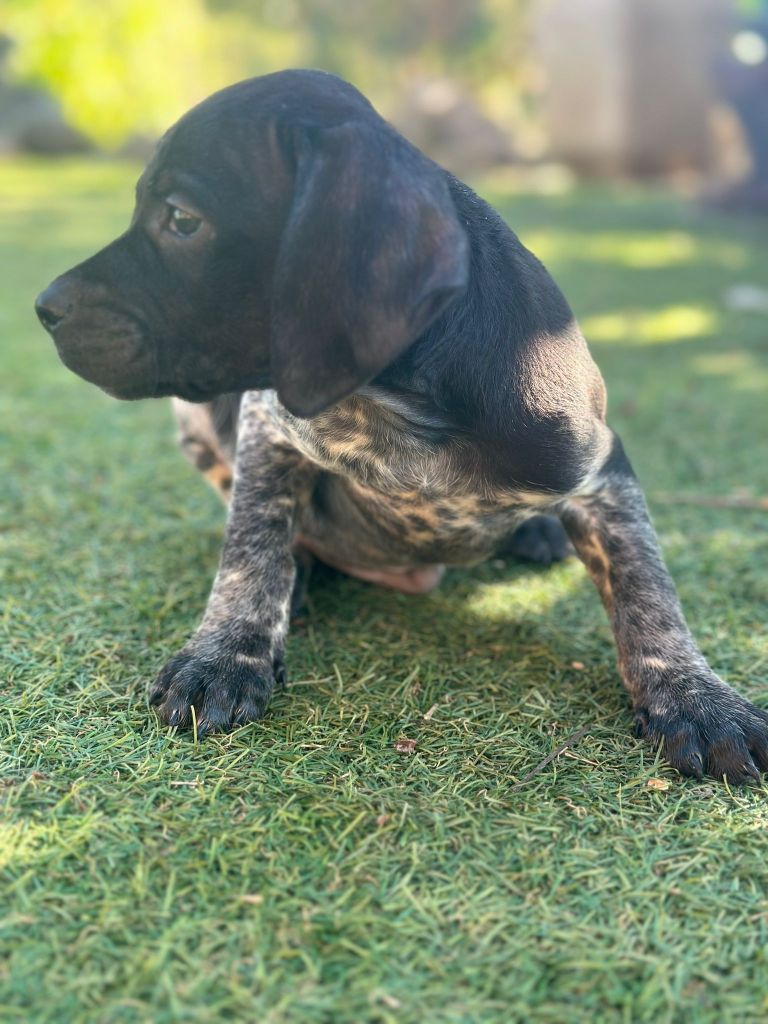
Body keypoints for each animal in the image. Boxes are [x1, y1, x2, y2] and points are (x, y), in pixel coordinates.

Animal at [36, 68, 768, 778]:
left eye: (181, 220)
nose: (43, 307)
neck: (407, 399)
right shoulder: (267, 423)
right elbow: (252, 547)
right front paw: (227, 651)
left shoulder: (601, 471)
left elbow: (648, 592)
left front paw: (695, 696)